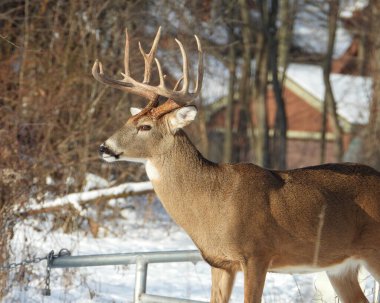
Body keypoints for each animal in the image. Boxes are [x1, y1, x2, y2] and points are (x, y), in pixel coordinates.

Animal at [93, 26, 380, 303]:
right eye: (129, 121)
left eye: (145, 126)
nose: (104, 147)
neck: (213, 201)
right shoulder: (219, 262)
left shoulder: (257, 253)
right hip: (340, 267)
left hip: (373, 253)